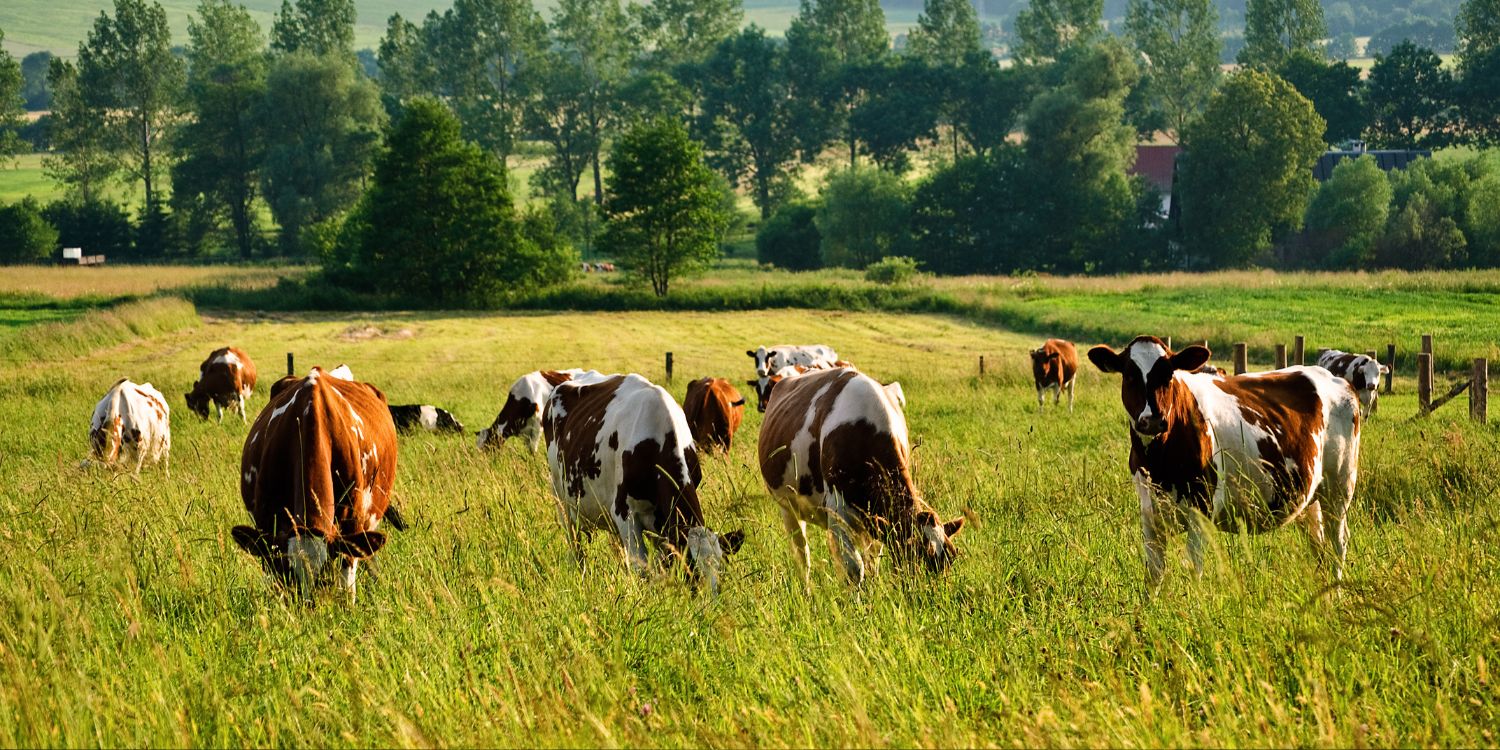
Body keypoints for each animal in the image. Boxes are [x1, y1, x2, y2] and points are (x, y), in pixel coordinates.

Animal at [231, 366, 399, 600]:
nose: (308, 606)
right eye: (288, 573)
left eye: (324, 576)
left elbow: (347, 583)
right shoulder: (266, 525)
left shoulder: (351, 524)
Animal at [544, 374, 743, 595]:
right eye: (692, 569)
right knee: (575, 544)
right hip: (560, 496)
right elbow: (641, 568)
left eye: (721, 569)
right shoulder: (624, 511)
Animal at [757, 367, 965, 586]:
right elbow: (854, 569)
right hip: (788, 507)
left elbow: (873, 561)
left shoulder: (876, 520)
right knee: (802, 557)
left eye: (951, 557)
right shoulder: (837, 512)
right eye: (915, 554)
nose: (933, 593)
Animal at [1087, 336, 1362, 592]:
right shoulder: (1149, 512)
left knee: (1338, 544)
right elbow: (1154, 573)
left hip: (1339, 488)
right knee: (1318, 546)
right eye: (1130, 375)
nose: (1153, 420)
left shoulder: (1201, 509)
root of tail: (1334, 378)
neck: (1159, 464)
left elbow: (1193, 568)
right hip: (1309, 498)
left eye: (1168, 375)